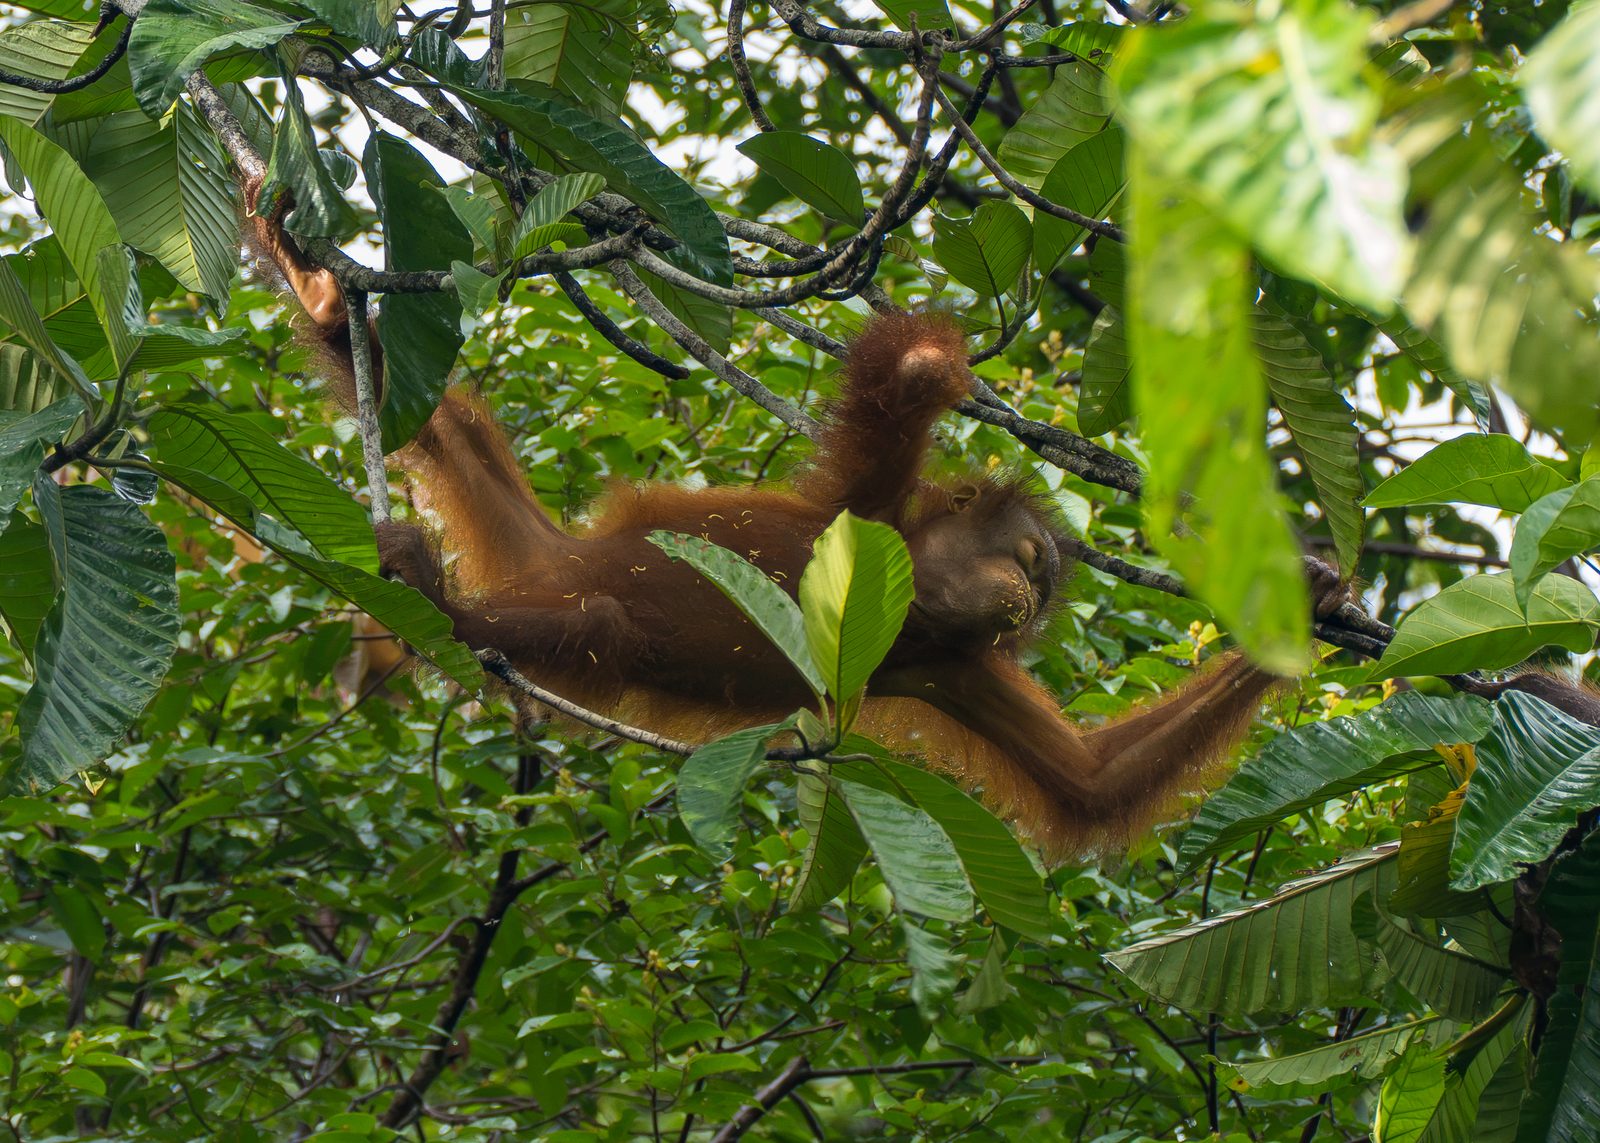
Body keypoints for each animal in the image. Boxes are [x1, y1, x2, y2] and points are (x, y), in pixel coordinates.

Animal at [245, 186, 1353, 858]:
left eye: (1039, 587)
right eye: (1031, 558)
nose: (1017, 598)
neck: (916, 602)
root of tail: (549, 555)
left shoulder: (954, 667)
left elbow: (1091, 780)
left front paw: (1308, 607)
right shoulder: (867, 511)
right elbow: (892, 398)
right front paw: (937, 367)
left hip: (526, 544)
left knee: (477, 466)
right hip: (551, 565)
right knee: (571, 592)